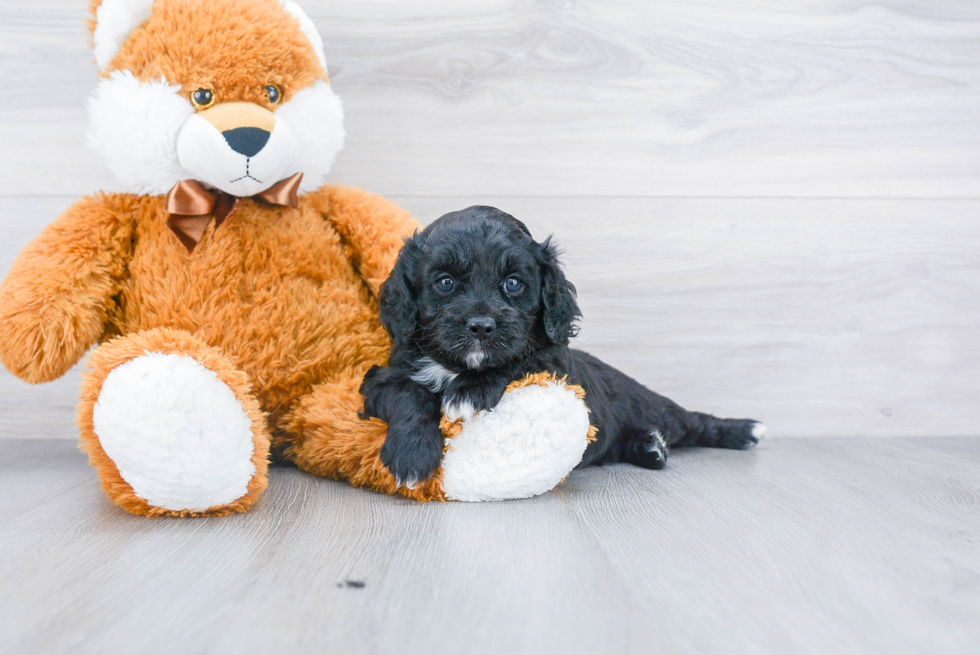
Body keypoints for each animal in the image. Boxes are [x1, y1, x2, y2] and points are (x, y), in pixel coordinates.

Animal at [360, 206, 764, 486]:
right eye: (445, 283)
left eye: (513, 283)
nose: (481, 326)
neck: (457, 365)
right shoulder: (381, 376)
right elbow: (409, 392)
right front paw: (412, 455)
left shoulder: (554, 366)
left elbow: (517, 360)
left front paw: (468, 391)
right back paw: (649, 447)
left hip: (653, 406)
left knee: (691, 422)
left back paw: (744, 431)